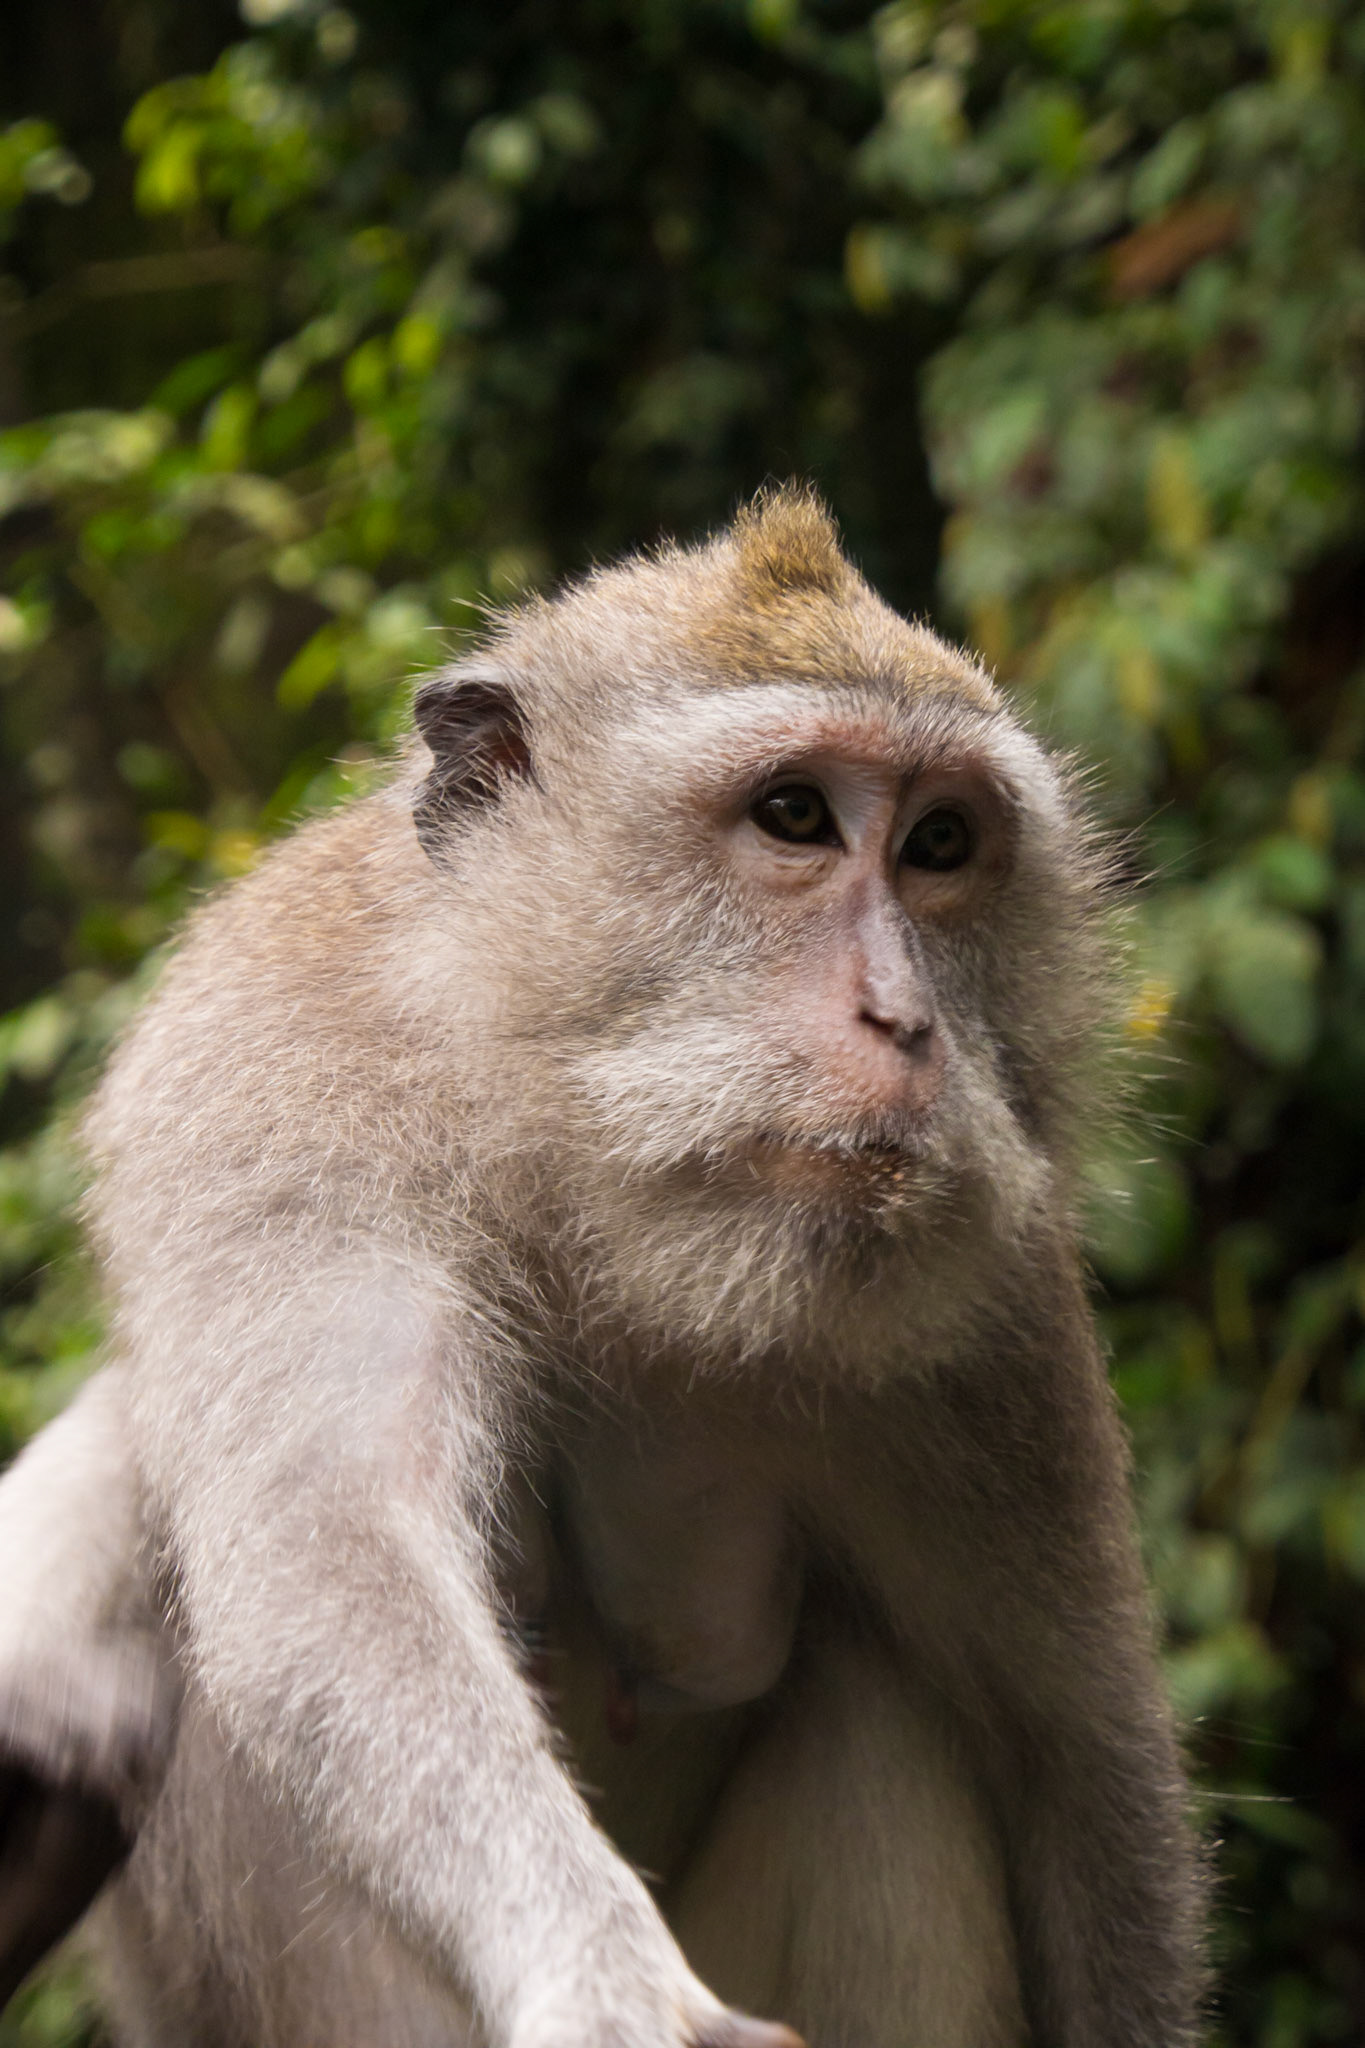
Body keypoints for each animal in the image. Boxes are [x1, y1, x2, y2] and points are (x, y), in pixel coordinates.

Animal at [0, 486, 1205, 2048]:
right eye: (794, 815)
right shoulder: (278, 1087)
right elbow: (330, 1548)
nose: (903, 1021)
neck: (575, 1155)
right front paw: (601, 1968)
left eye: (942, 843)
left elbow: (1077, 1759)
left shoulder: (990, 1299)